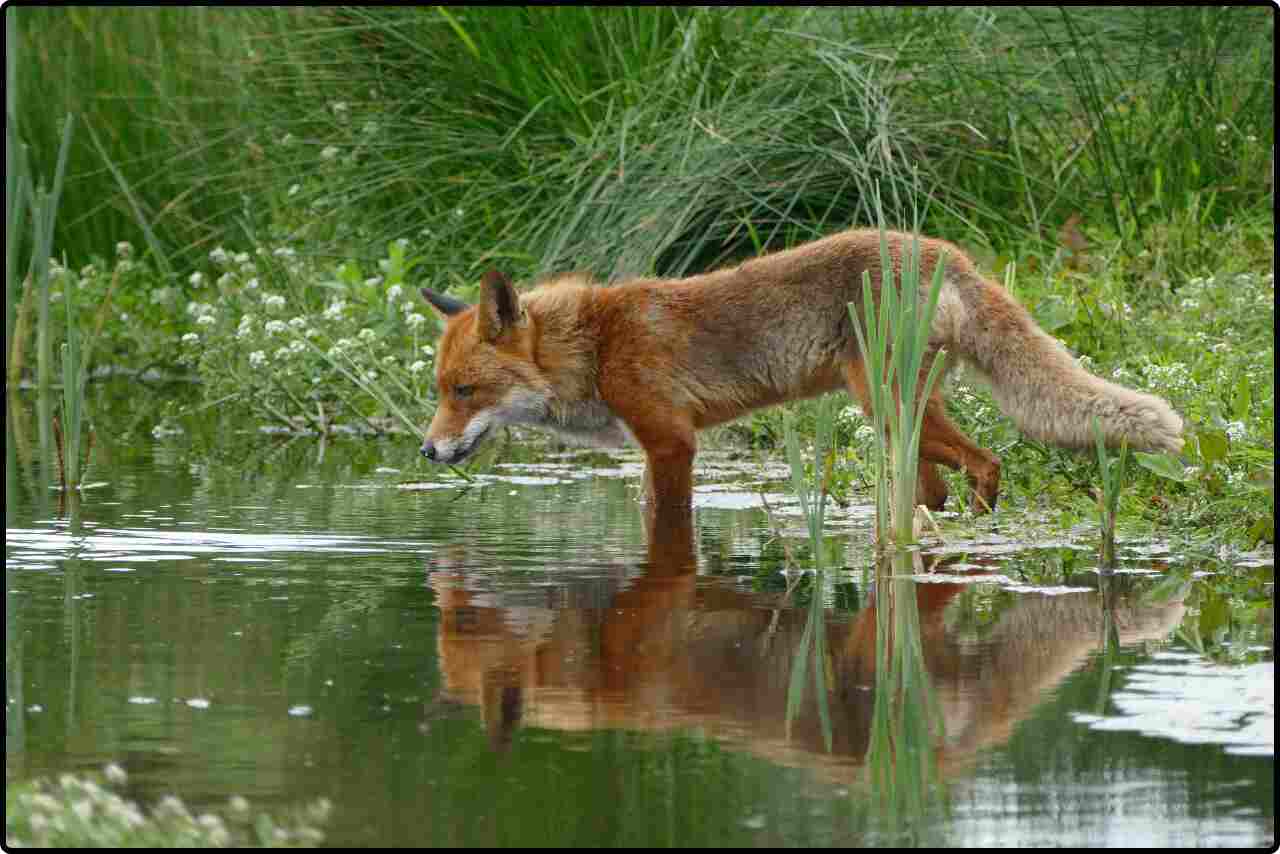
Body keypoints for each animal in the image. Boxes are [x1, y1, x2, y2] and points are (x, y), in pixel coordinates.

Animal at [417, 226, 1177, 514]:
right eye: (440, 392)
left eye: (466, 391)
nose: (426, 450)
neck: (596, 346)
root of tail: (945, 251)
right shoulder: (654, 448)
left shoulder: (672, 442)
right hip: (902, 419)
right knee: (937, 485)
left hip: (885, 406)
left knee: (988, 462)